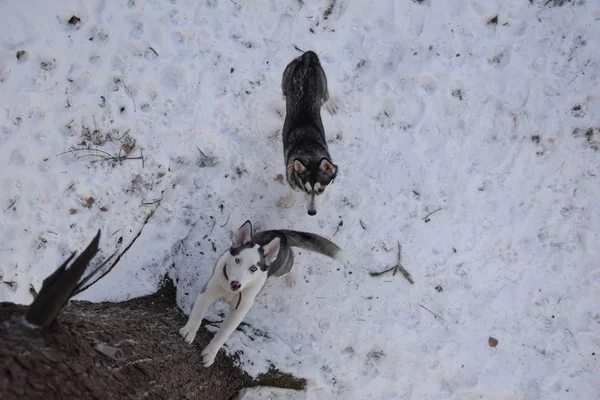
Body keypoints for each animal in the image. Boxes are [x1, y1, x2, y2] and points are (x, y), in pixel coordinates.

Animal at [178, 220, 344, 368]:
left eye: (253, 268)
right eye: (237, 260)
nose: (235, 284)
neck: (231, 292)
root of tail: (282, 234)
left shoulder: (239, 311)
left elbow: (224, 333)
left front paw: (211, 353)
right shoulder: (209, 291)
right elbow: (198, 314)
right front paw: (189, 331)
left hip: (280, 269)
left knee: (291, 265)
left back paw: (292, 277)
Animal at [278, 50, 340, 216]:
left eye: (321, 189)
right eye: (306, 189)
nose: (311, 212)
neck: (309, 151)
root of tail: (307, 57)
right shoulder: (291, 174)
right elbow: (292, 190)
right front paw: (288, 200)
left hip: (322, 88)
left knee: (327, 94)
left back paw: (331, 104)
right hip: (285, 82)